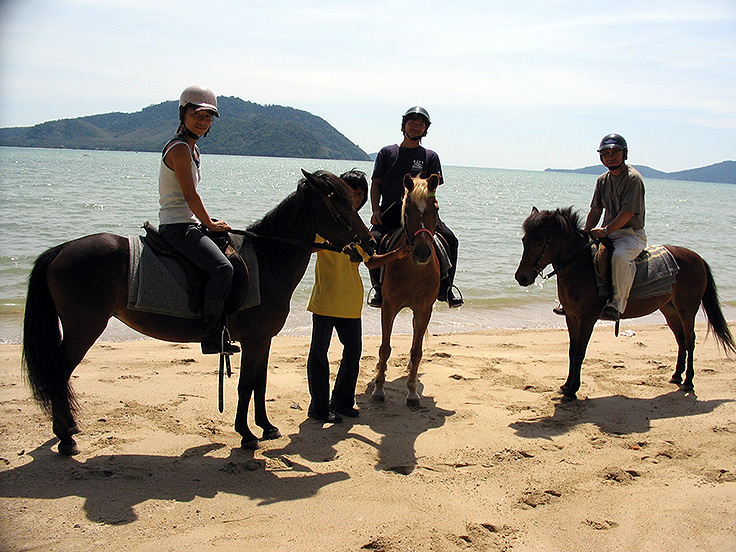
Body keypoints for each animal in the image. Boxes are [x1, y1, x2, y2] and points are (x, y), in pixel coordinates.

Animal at [22, 170, 376, 455]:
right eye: (341, 203)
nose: (370, 241)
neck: (267, 258)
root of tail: (61, 250)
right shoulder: (255, 340)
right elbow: (246, 385)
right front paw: (246, 434)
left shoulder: (263, 340)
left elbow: (259, 383)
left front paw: (266, 427)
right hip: (84, 328)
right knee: (58, 373)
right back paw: (66, 438)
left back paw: (68, 430)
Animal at [371, 174, 442, 407]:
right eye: (408, 210)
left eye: (435, 209)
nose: (422, 252)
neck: (414, 269)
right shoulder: (389, 307)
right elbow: (385, 348)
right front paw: (379, 389)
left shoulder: (424, 310)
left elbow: (417, 350)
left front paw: (412, 392)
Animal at [515, 207, 735, 401]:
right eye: (525, 240)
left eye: (540, 241)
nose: (521, 277)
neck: (581, 266)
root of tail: (697, 258)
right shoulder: (571, 316)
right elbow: (572, 351)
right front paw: (566, 386)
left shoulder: (587, 319)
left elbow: (579, 353)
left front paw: (573, 391)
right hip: (669, 310)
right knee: (681, 340)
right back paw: (676, 376)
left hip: (687, 310)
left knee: (690, 340)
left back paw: (688, 381)